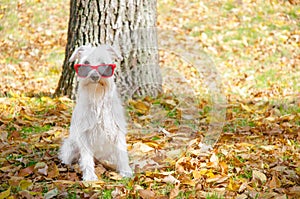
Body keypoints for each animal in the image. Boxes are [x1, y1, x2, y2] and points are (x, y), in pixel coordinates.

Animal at [58, 44, 132, 181]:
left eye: (104, 64)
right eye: (86, 63)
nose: (95, 76)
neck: (97, 96)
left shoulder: (117, 130)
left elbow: (122, 153)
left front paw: (126, 171)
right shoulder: (84, 133)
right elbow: (86, 157)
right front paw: (89, 176)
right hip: (71, 146)